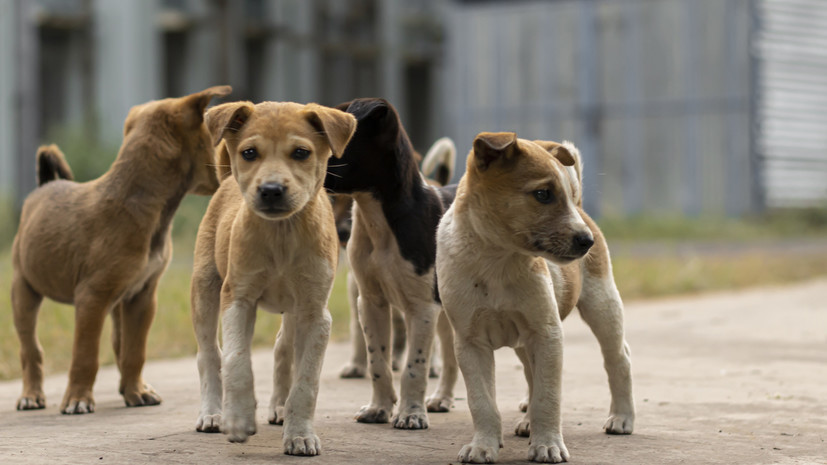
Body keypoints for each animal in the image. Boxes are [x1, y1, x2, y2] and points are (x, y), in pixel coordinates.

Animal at [11, 85, 233, 412]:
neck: (140, 201)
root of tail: (43, 187)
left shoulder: (142, 297)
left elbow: (134, 351)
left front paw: (136, 391)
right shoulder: (91, 298)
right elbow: (85, 354)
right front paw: (78, 399)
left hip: (117, 302)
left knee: (119, 344)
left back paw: (129, 388)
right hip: (24, 290)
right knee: (30, 349)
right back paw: (31, 395)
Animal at [192, 100, 358, 454]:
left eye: (301, 152)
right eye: (249, 152)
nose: (271, 190)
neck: (282, 235)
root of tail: (226, 181)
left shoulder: (315, 313)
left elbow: (306, 381)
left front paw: (300, 435)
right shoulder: (237, 299)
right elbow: (237, 361)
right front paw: (239, 418)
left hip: (293, 310)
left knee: (284, 348)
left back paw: (280, 408)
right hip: (204, 290)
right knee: (209, 355)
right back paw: (212, 413)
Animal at [440, 132, 632, 462]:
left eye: (560, 193)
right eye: (543, 194)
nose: (587, 242)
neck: (496, 263)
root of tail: (581, 207)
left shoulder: (547, 333)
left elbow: (547, 396)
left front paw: (548, 445)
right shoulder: (470, 343)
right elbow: (482, 401)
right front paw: (483, 446)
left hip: (602, 305)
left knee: (619, 359)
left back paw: (621, 418)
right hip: (525, 341)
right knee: (531, 375)